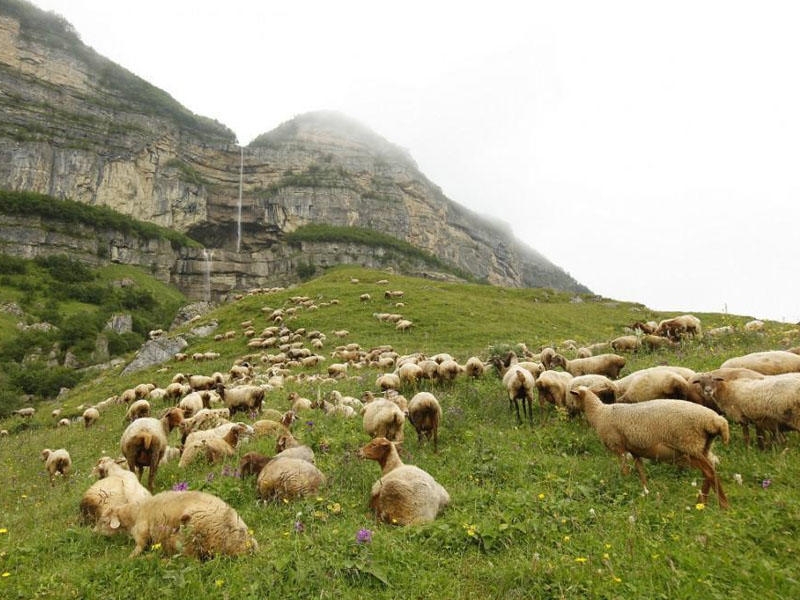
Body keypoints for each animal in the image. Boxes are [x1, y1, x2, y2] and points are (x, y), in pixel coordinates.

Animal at [568, 386, 732, 508]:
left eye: (574, 396)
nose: (571, 408)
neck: (599, 413)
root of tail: (716, 421)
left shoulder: (618, 447)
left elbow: (625, 470)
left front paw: (625, 485)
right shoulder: (634, 451)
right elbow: (641, 473)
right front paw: (646, 492)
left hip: (689, 446)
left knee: (710, 472)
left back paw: (723, 505)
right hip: (702, 448)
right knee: (709, 470)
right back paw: (702, 502)